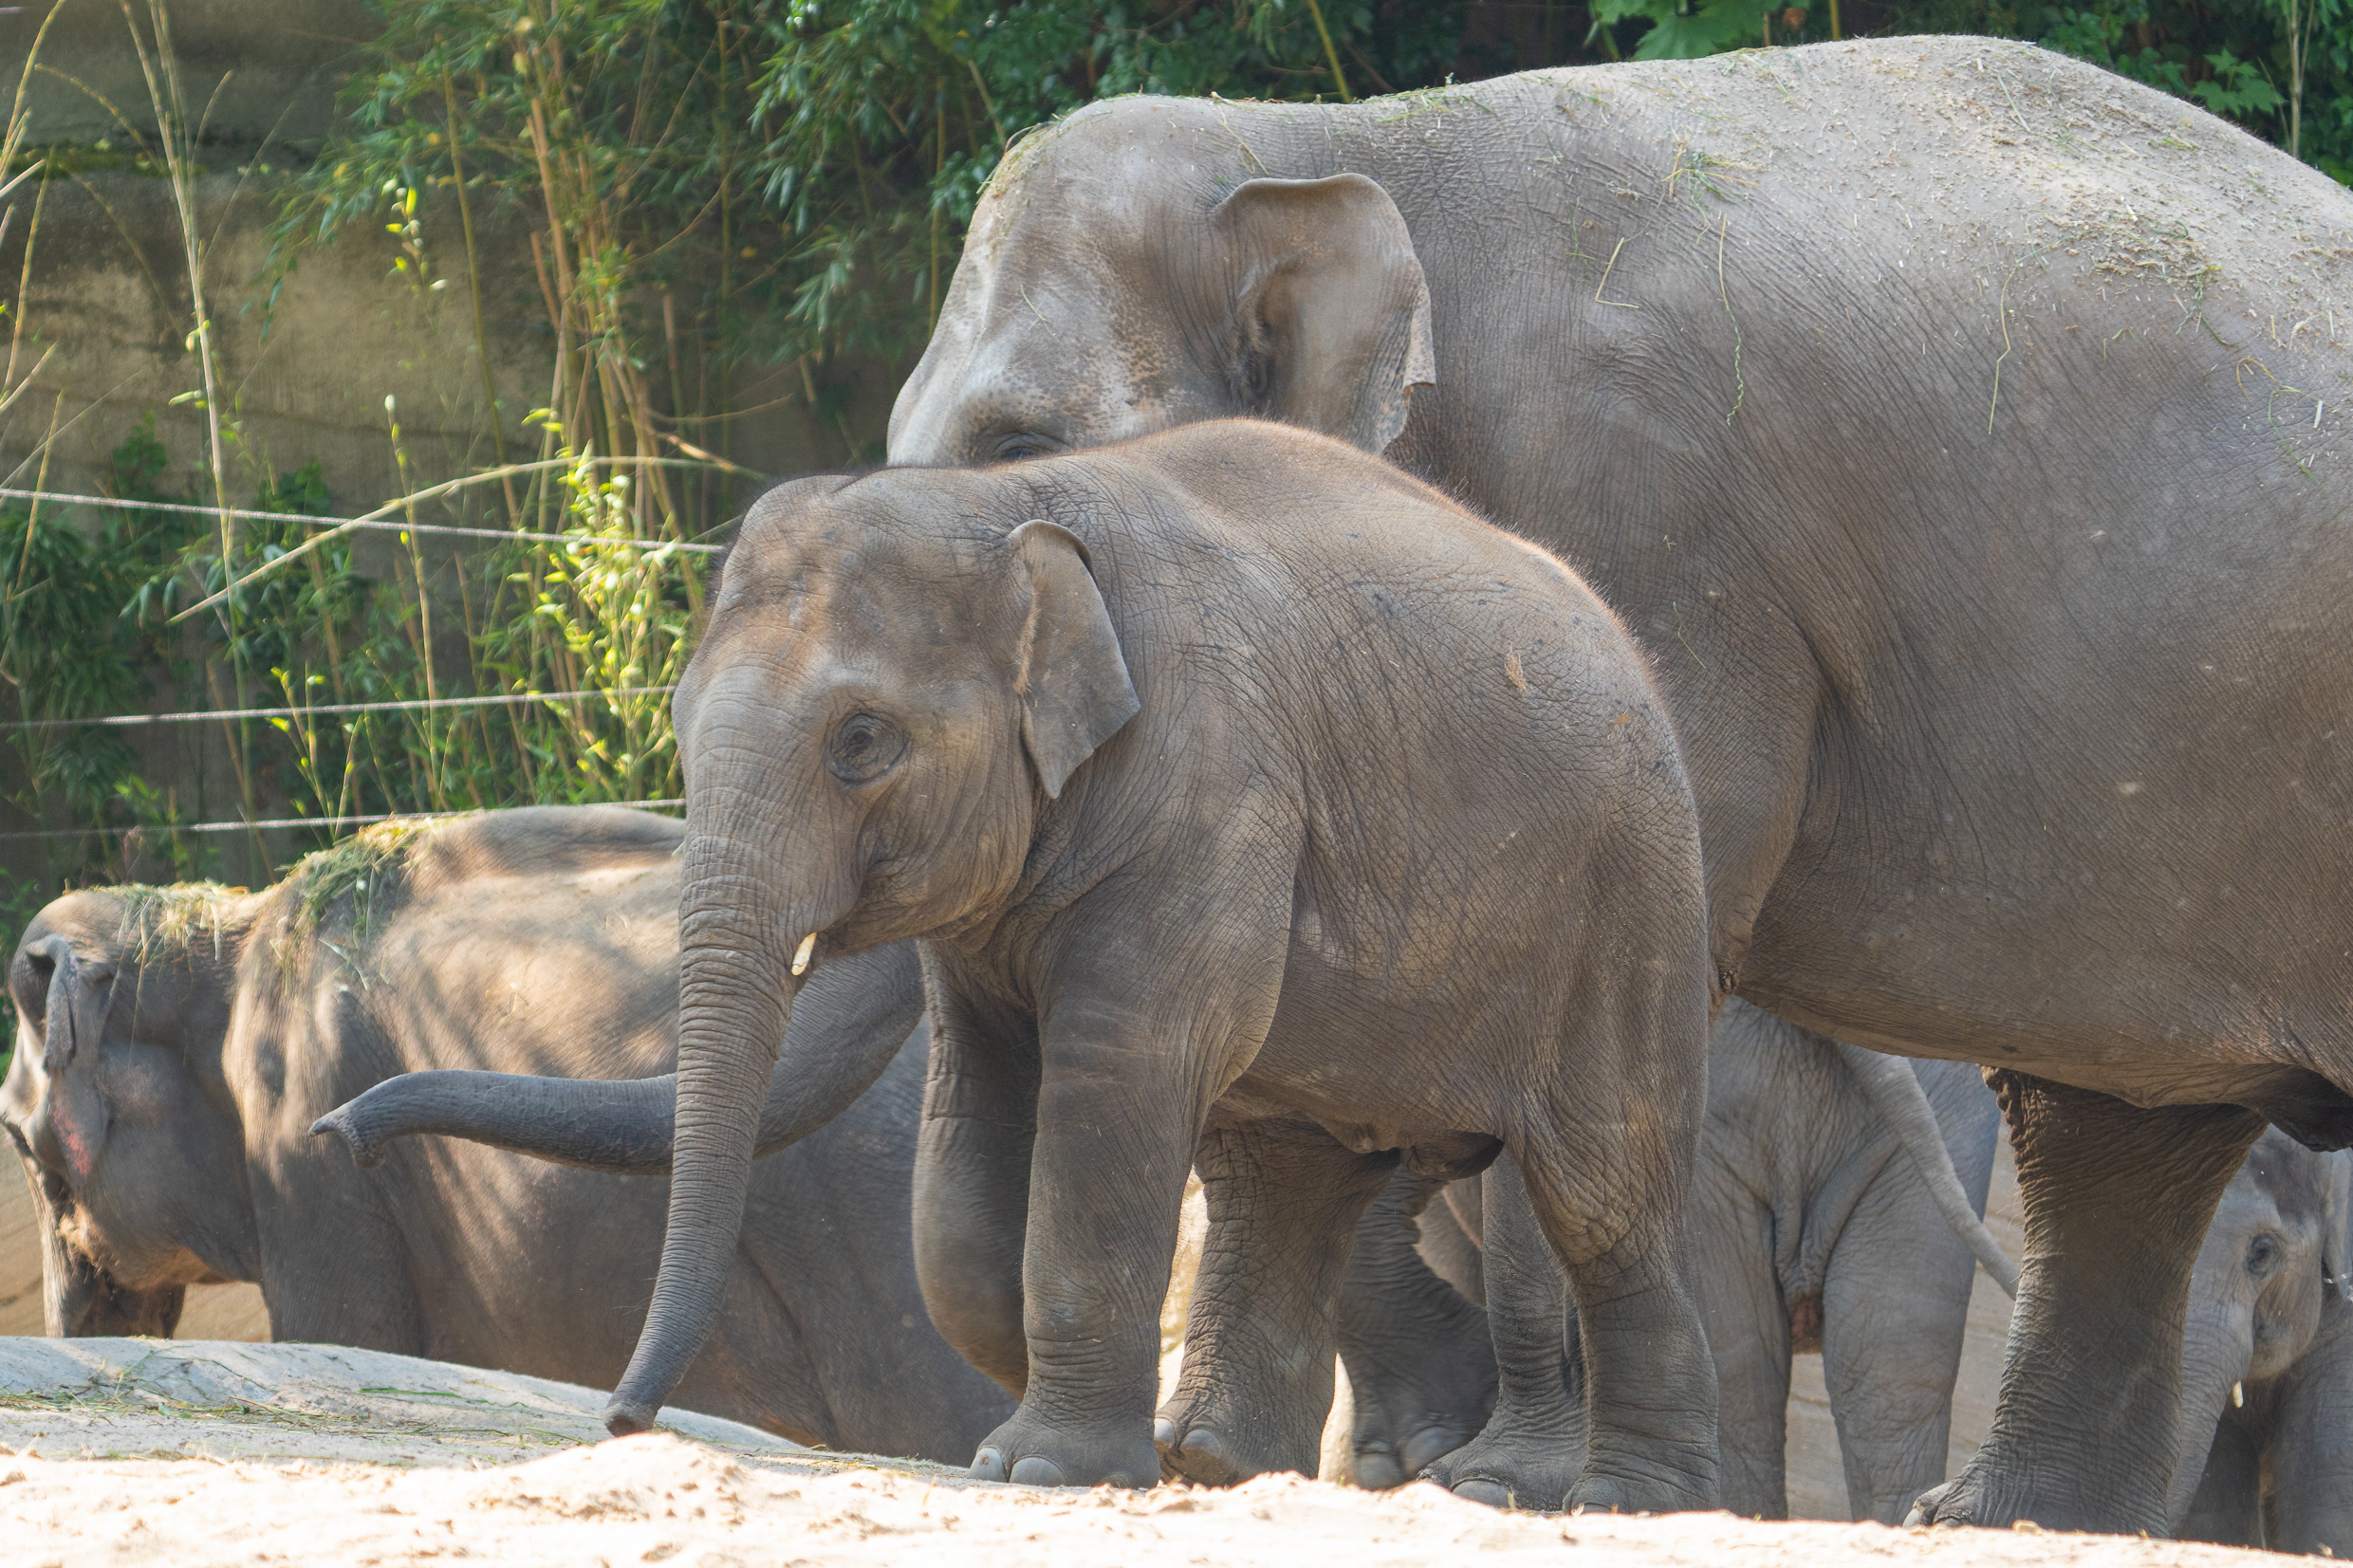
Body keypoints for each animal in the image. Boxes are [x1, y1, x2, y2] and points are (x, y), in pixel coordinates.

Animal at [331, 418, 1721, 1508]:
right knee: (1288, 1168)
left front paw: (1040, 1465)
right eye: (676, 723)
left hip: (1631, 899)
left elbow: (1112, 1082)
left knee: (1595, 1184)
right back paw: (1217, 1463)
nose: (622, 1419)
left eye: (861, 742)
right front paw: (1053, 1435)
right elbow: (973, 1126)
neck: (1007, 505)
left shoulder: (1210, 789)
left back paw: (1613, 1496)